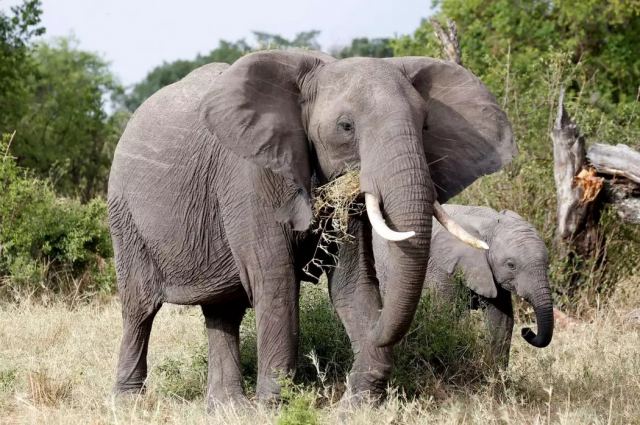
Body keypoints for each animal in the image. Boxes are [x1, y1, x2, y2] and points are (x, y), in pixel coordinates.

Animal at [106, 49, 516, 408]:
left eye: (425, 125)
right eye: (346, 127)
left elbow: (353, 283)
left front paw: (359, 405)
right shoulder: (247, 173)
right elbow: (275, 280)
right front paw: (273, 407)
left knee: (224, 311)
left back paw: (227, 409)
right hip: (124, 215)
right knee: (140, 308)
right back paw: (129, 404)